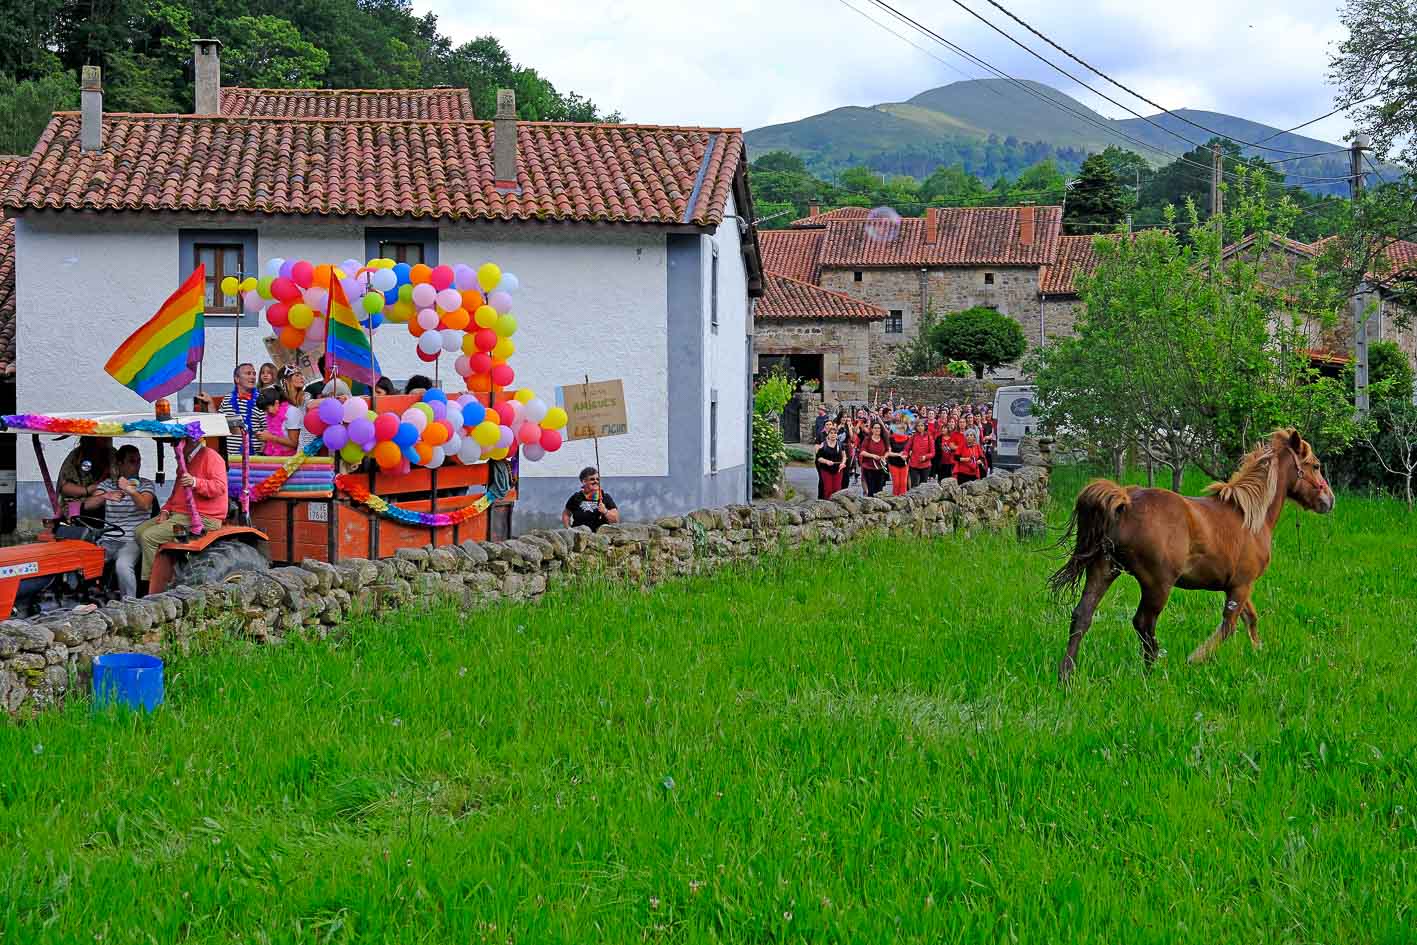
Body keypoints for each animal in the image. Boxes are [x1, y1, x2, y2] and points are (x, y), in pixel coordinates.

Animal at [1054, 430, 1337, 688]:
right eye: (1315, 465)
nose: (1329, 500)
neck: (1252, 517)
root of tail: (1125, 501)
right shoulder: (1241, 585)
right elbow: (1229, 626)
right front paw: (1195, 659)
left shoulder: (1239, 585)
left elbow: (1251, 619)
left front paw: (1258, 652)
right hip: (1157, 584)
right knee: (1143, 623)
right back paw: (1152, 674)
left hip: (1104, 569)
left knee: (1082, 616)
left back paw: (1066, 676)